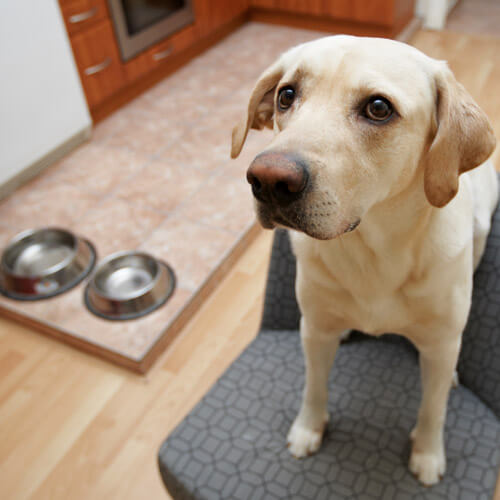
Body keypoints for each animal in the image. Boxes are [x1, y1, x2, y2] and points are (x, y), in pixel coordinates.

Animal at [230, 36, 496, 488]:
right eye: (286, 95)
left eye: (378, 108)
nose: (267, 180)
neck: (373, 250)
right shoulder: (314, 328)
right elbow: (314, 386)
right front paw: (308, 428)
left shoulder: (440, 345)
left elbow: (433, 408)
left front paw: (428, 454)